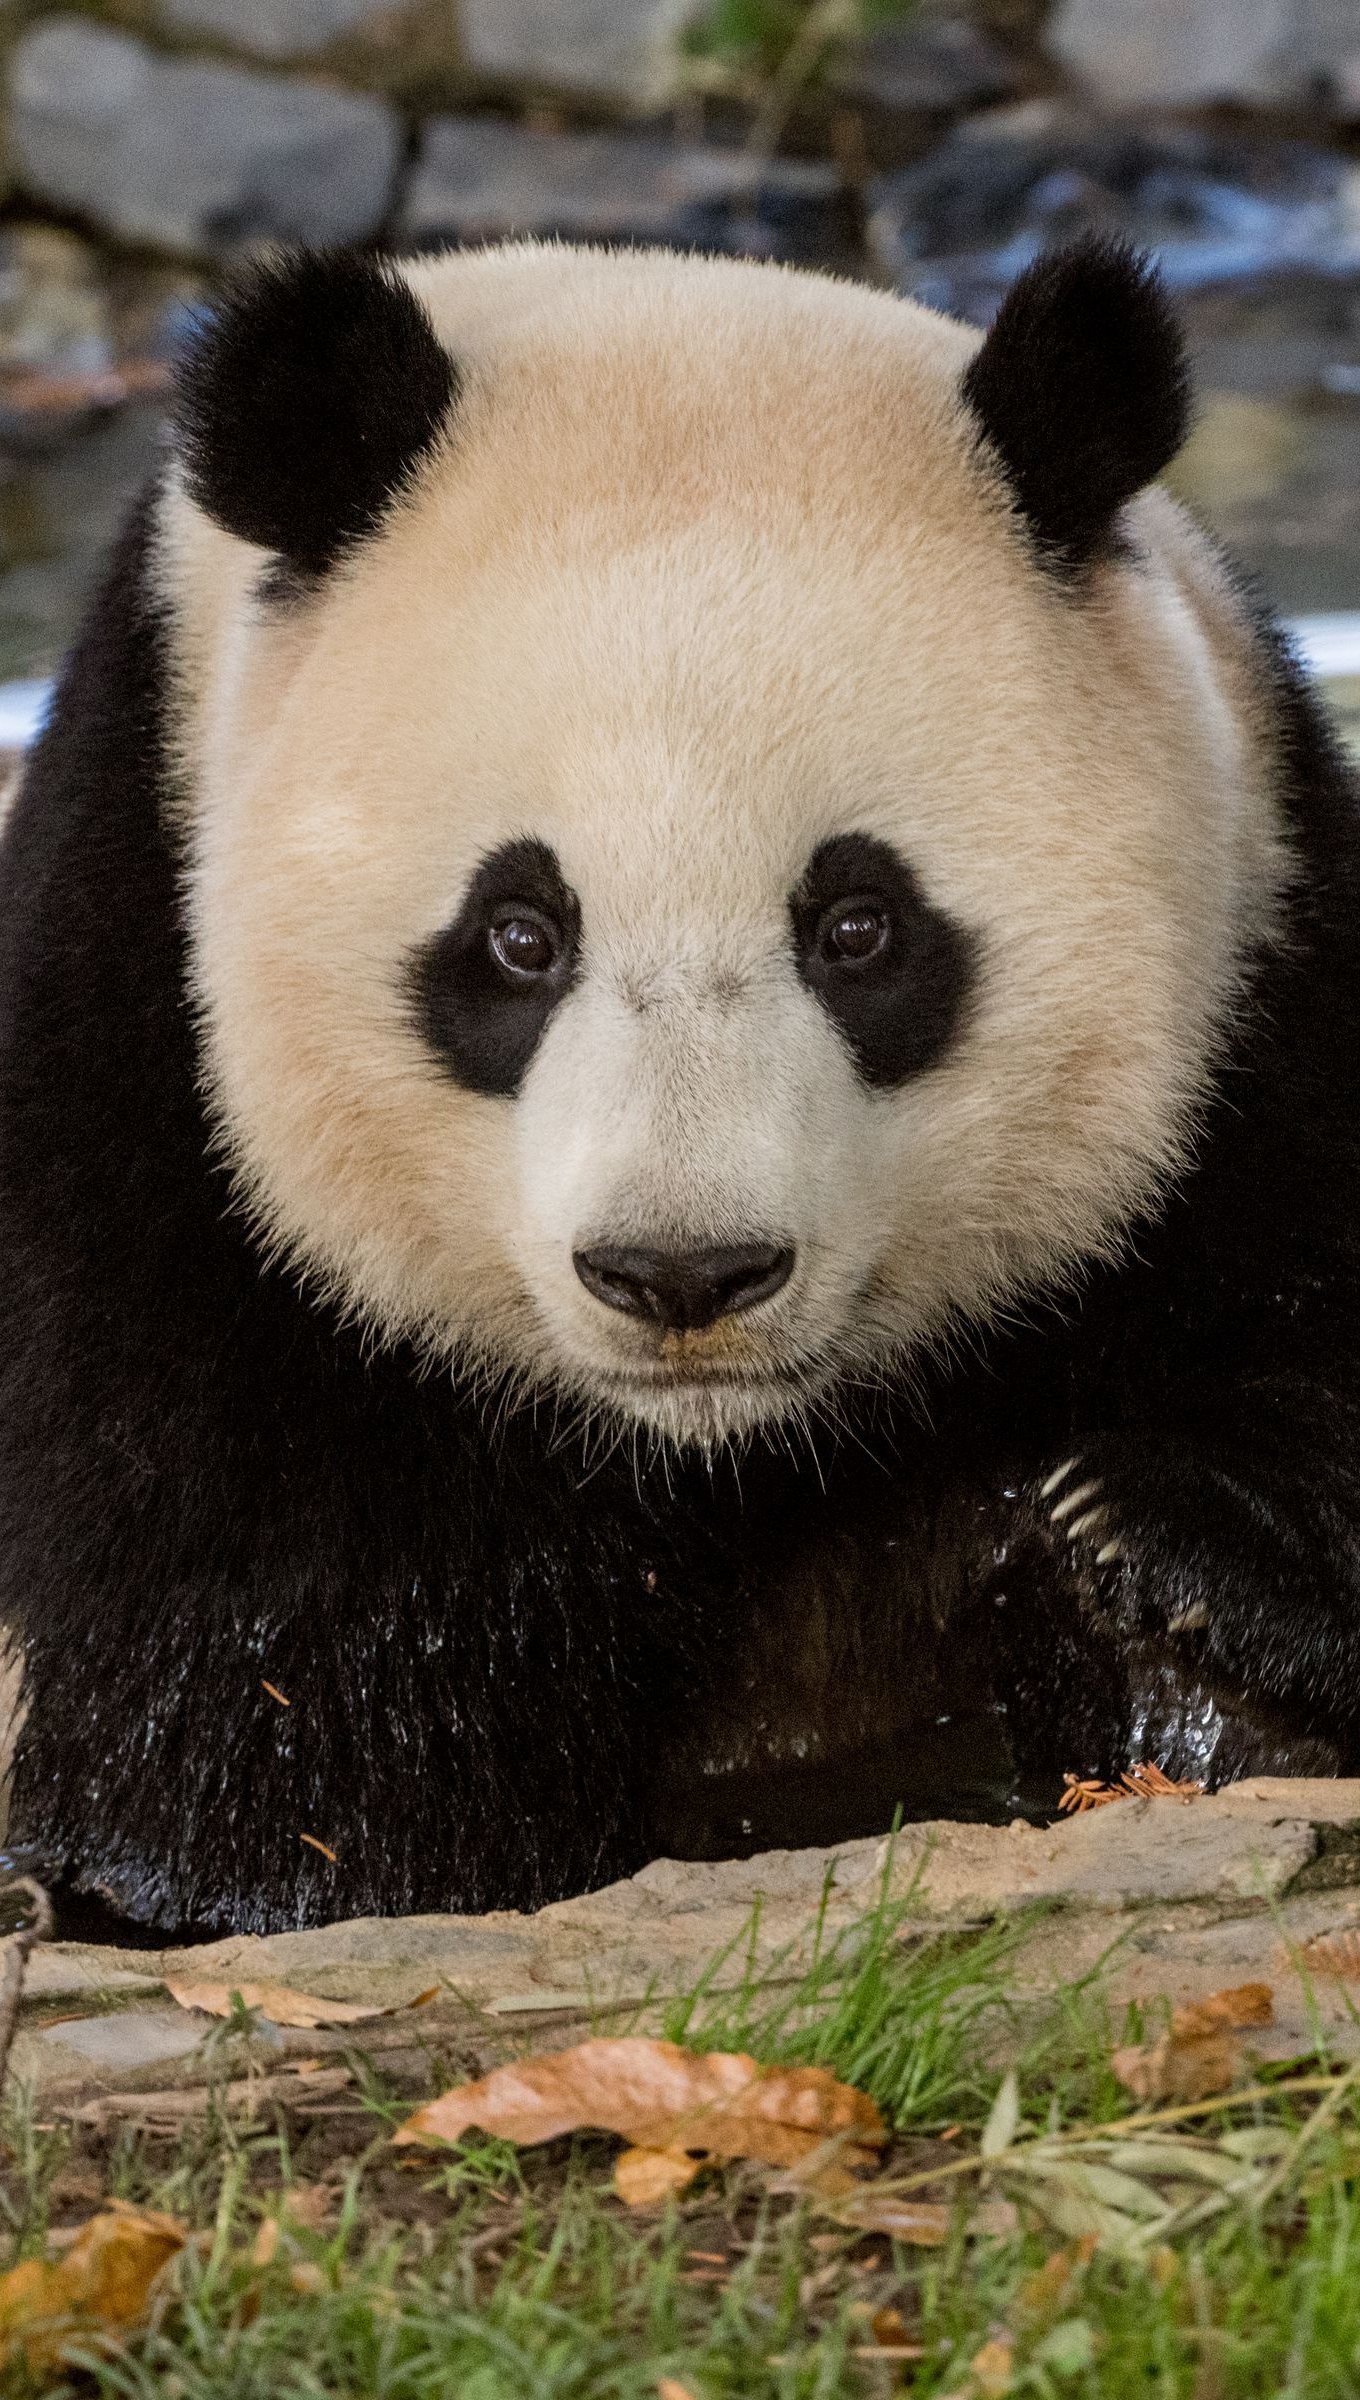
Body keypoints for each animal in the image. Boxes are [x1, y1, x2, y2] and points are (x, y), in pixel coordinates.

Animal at [2, 234, 1360, 1939]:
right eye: (520, 935)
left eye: (858, 926)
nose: (684, 1273)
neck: (714, 1451)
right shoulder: (139, 1115)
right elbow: (274, 1733)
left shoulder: (1271, 1020)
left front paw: (1160, 1574)